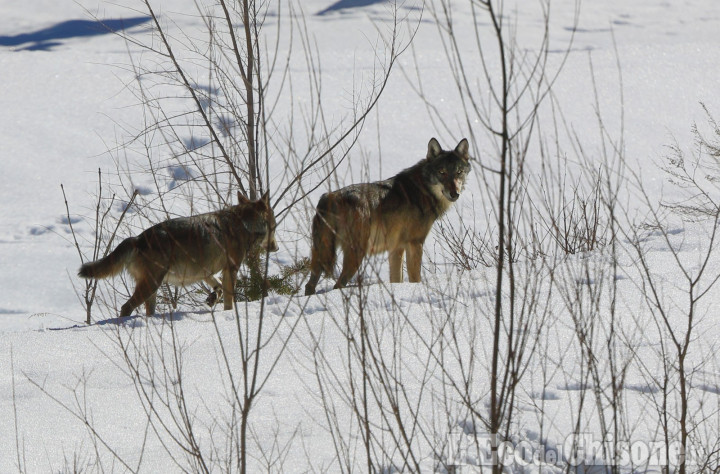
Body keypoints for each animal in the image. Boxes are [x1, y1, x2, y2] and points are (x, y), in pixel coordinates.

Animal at [78, 191, 278, 316]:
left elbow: (219, 288)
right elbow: (229, 301)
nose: (276, 248)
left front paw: (212, 298)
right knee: (126, 307)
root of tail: (137, 238)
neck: (244, 223)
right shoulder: (230, 269)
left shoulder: (206, 272)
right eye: (275, 227)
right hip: (152, 285)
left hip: (152, 290)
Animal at [304, 136, 472, 296]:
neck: (422, 190)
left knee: (309, 285)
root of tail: (329, 197)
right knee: (337, 285)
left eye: (459, 172)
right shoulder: (415, 244)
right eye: (442, 172)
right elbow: (415, 278)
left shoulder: (396, 248)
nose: (454, 194)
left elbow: (396, 279)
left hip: (322, 256)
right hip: (356, 255)